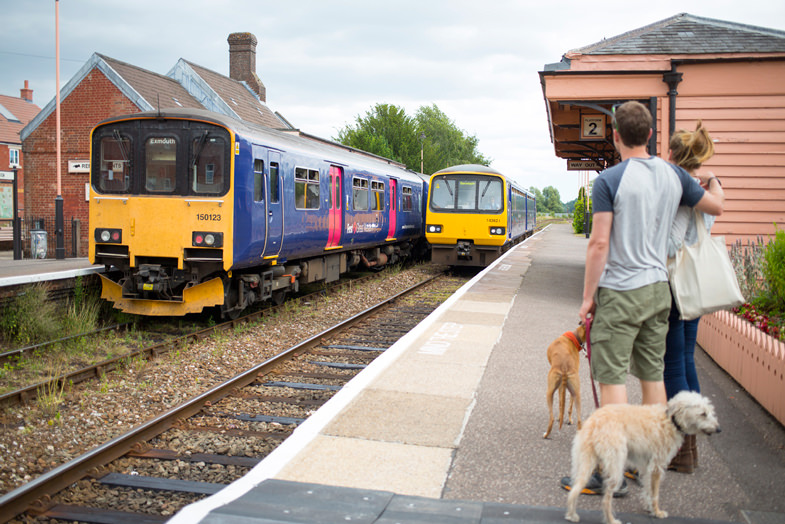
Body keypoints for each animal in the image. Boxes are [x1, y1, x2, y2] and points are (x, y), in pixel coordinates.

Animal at [564, 392, 724, 524]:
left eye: (710, 412)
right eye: (703, 414)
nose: (719, 429)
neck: (671, 421)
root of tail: (594, 423)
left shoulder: (647, 467)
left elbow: (648, 488)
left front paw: (649, 507)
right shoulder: (656, 467)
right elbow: (655, 494)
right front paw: (657, 511)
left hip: (585, 463)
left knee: (574, 491)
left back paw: (571, 515)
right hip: (615, 467)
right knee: (606, 499)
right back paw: (611, 520)